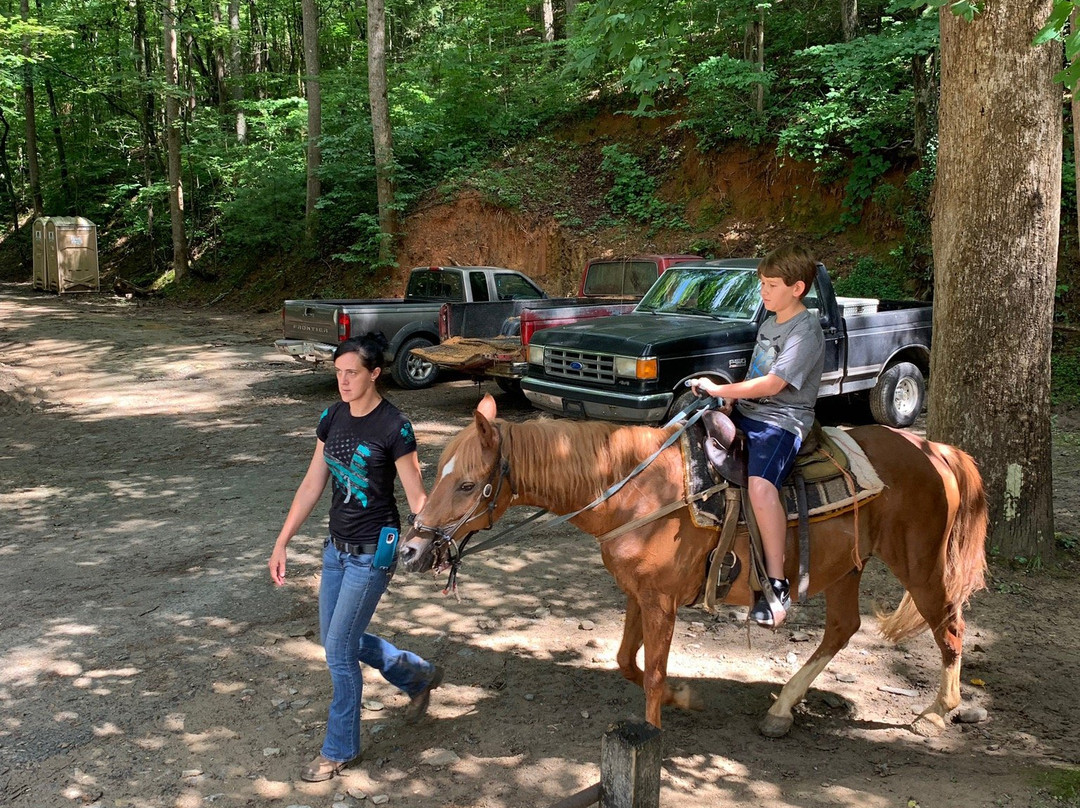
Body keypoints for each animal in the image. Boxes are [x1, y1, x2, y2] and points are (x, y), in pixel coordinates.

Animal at [399, 395, 989, 734]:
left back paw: (939, 711)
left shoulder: (661, 601)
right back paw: (781, 709)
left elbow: (653, 673)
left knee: (950, 628)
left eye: (467, 484)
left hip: (920, 562)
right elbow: (626, 661)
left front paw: (656, 728)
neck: (634, 487)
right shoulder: (638, 594)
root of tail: (937, 450)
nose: (411, 550)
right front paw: (683, 699)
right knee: (843, 629)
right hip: (849, 566)